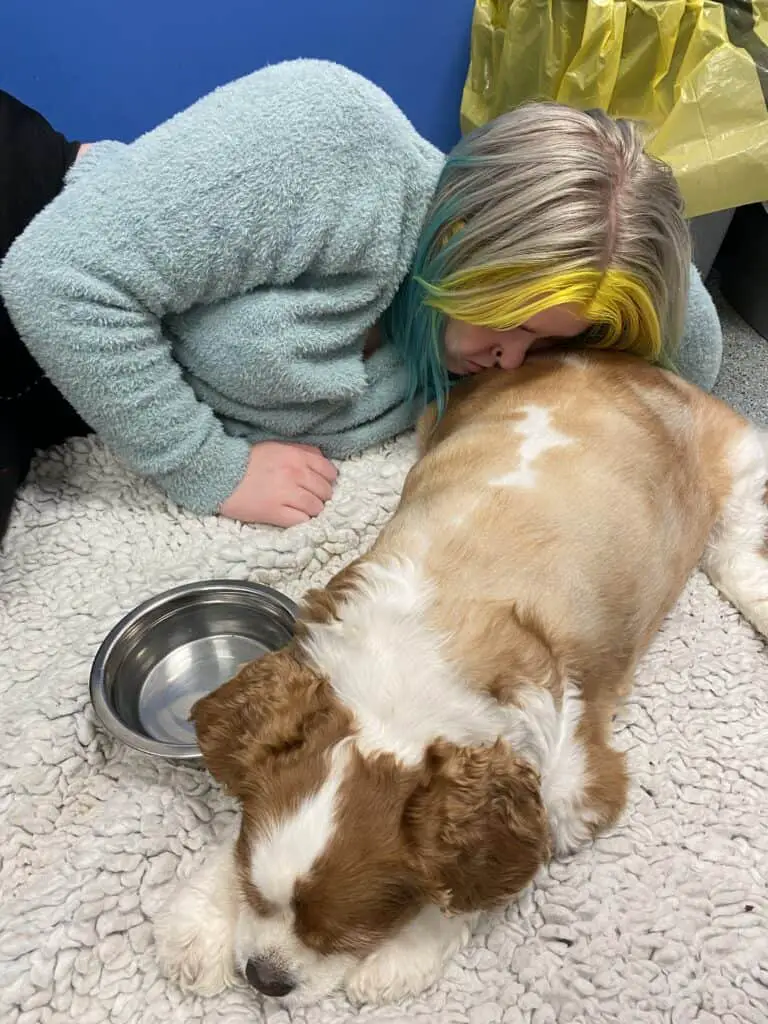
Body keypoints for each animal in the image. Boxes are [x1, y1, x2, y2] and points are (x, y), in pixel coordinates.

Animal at [153, 350, 768, 999]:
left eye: (349, 933)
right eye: (254, 892)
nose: (264, 978)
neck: (402, 685)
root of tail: (619, 362)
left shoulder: (574, 789)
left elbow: (473, 885)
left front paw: (402, 955)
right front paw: (202, 920)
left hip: (740, 466)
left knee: (736, 557)